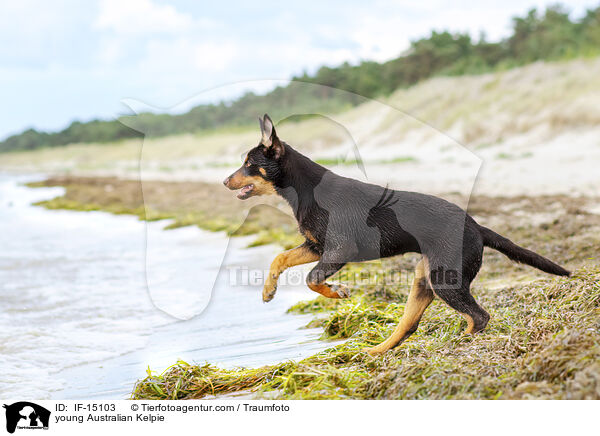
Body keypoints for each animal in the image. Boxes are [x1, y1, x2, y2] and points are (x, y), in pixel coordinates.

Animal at [223, 115, 568, 354]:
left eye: (249, 163)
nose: (225, 181)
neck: (305, 189)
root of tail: (476, 227)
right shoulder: (316, 245)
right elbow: (280, 257)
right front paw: (268, 291)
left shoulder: (339, 249)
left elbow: (311, 279)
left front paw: (338, 292)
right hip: (424, 281)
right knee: (409, 325)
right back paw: (376, 350)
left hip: (445, 280)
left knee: (479, 316)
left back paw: (456, 344)